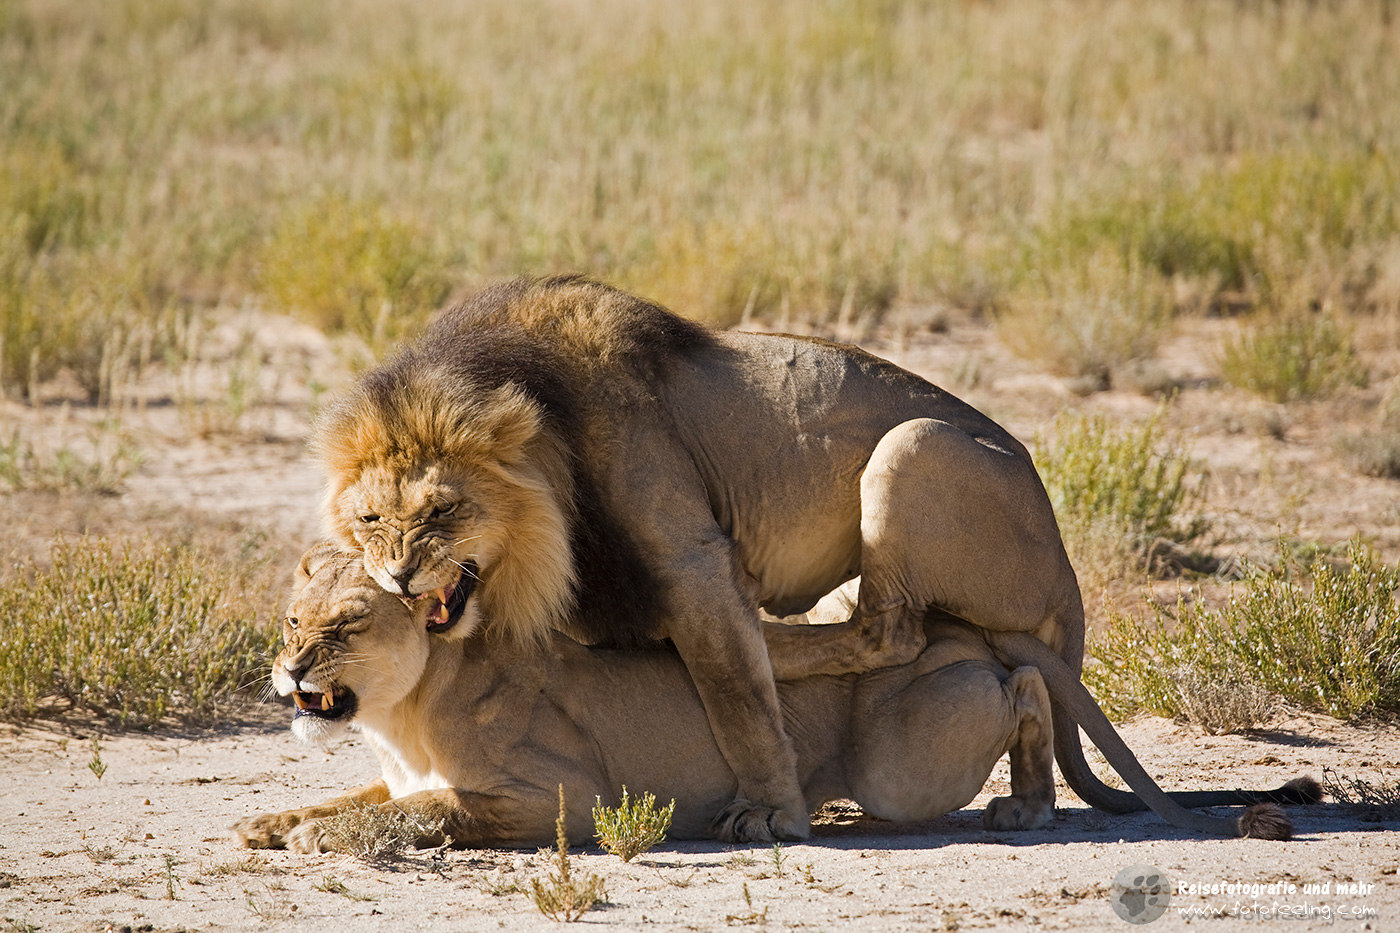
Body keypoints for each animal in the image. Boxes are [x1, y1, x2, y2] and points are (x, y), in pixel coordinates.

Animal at [231, 547, 1307, 852]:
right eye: (291, 621)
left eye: (345, 627)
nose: (288, 673)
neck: (401, 710)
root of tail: (953, 624)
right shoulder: (398, 770)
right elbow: (369, 796)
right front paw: (273, 821)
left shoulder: (566, 797)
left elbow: (431, 809)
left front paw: (321, 836)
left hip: (903, 765)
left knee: (1027, 685)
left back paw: (1029, 803)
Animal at [313, 275, 1304, 842]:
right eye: (370, 517)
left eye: (445, 509)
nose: (399, 577)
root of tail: (1072, 592)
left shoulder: (692, 561)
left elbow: (738, 698)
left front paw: (772, 812)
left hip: (912, 446)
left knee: (893, 631)